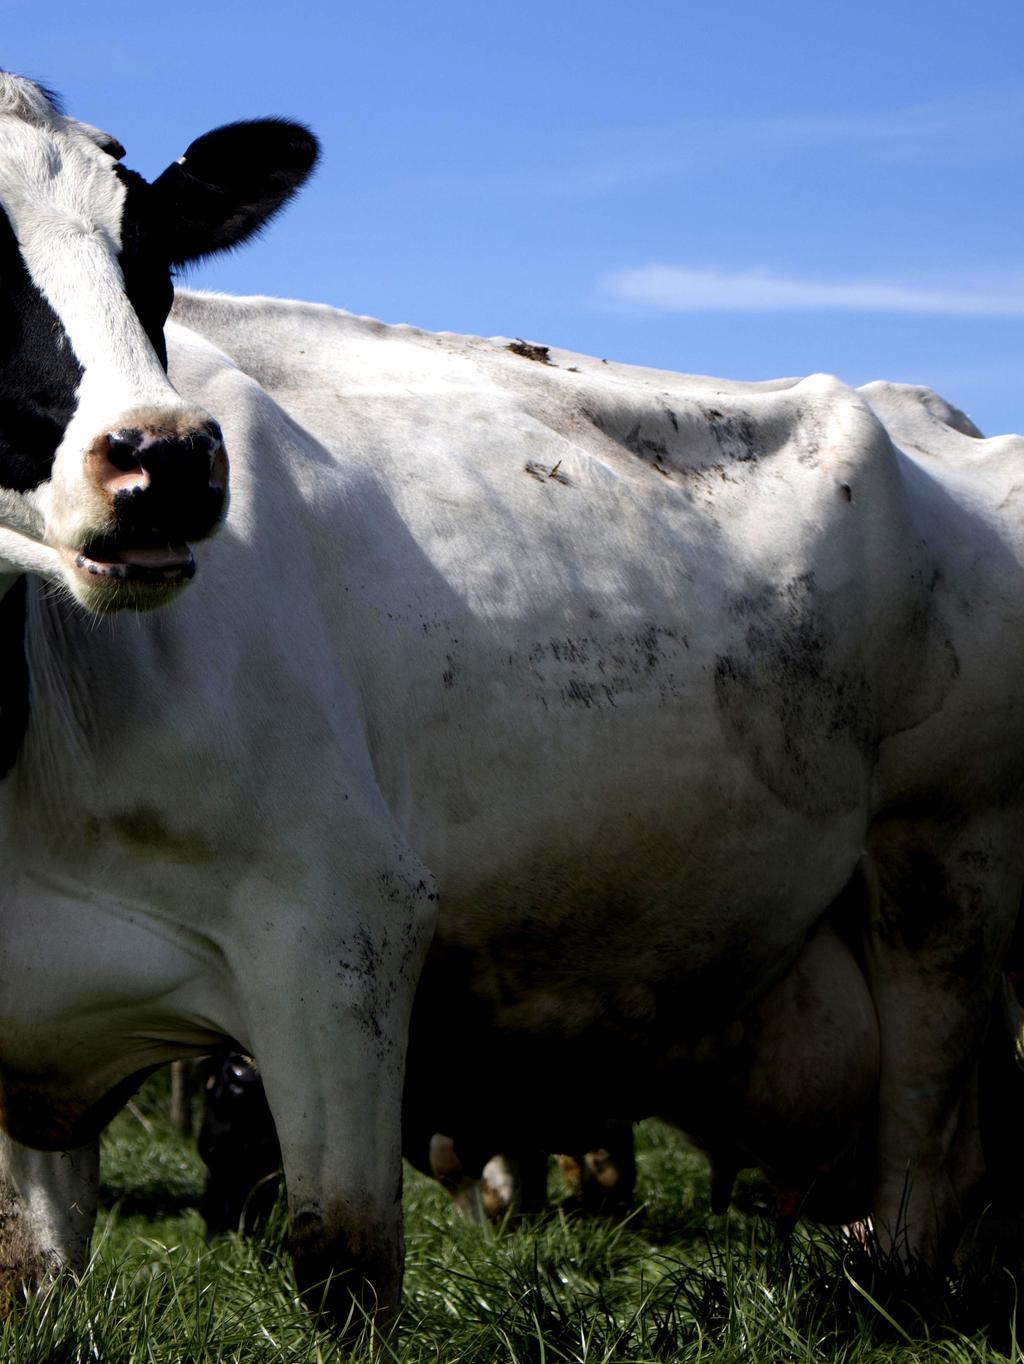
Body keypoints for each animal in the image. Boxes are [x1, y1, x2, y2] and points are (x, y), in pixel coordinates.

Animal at [2, 69, 1024, 1336]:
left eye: (150, 250)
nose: (168, 458)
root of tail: (932, 409)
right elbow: (32, 1274)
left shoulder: (339, 925)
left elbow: (345, 1265)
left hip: (948, 867)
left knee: (925, 1156)